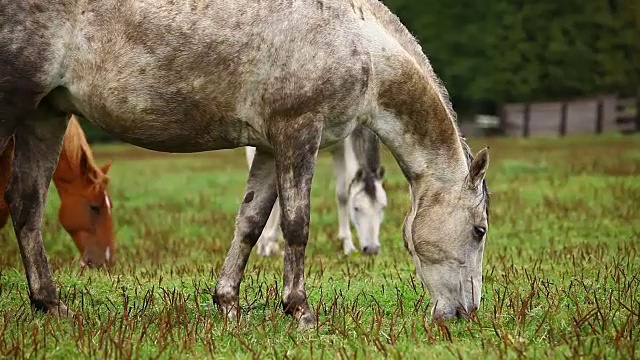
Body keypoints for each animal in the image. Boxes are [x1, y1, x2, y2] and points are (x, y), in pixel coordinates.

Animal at [244, 125, 384, 258]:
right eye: (356, 208)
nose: (372, 249)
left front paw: (348, 246)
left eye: (382, 208)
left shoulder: (340, 150)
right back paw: (264, 245)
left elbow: (342, 195)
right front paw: (269, 242)